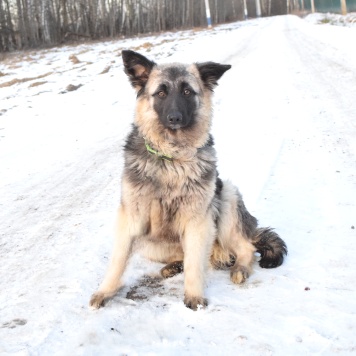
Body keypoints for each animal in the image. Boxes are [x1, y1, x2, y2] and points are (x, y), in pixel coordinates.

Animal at [89, 50, 286, 312]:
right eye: (161, 93)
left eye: (187, 92)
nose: (175, 118)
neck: (171, 157)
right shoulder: (131, 219)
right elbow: (118, 260)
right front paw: (106, 290)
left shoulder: (197, 221)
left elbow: (195, 264)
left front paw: (194, 296)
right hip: (149, 243)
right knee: (182, 255)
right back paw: (173, 266)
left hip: (226, 198)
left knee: (246, 247)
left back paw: (240, 268)